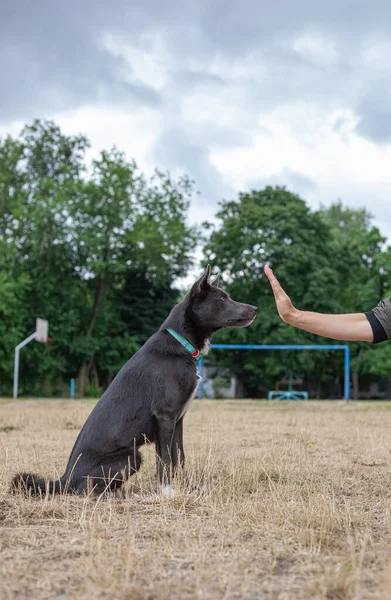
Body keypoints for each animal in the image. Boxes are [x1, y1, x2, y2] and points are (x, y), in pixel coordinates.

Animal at [11, 268, 258, 496]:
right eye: (222, 299)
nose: (255, 309)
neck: (181, 343)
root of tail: (65, 478)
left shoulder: (178, 420)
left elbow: (180, 458)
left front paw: (187, 489)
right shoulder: (164, 418)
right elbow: (165, 459)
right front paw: (167, 492)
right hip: (131, 455)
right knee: (84, 489)